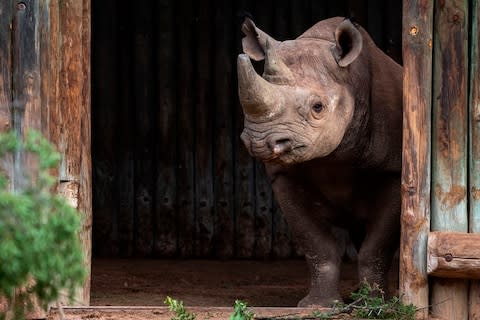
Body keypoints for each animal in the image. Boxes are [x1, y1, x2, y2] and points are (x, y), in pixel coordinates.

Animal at [238, 17, 404, 308]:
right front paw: (318, 305)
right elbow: (316, 244)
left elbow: (377, 246)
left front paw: (376, 305)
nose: (259, 142)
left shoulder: (393, 170)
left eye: (318, 107)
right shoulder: (285, 175)